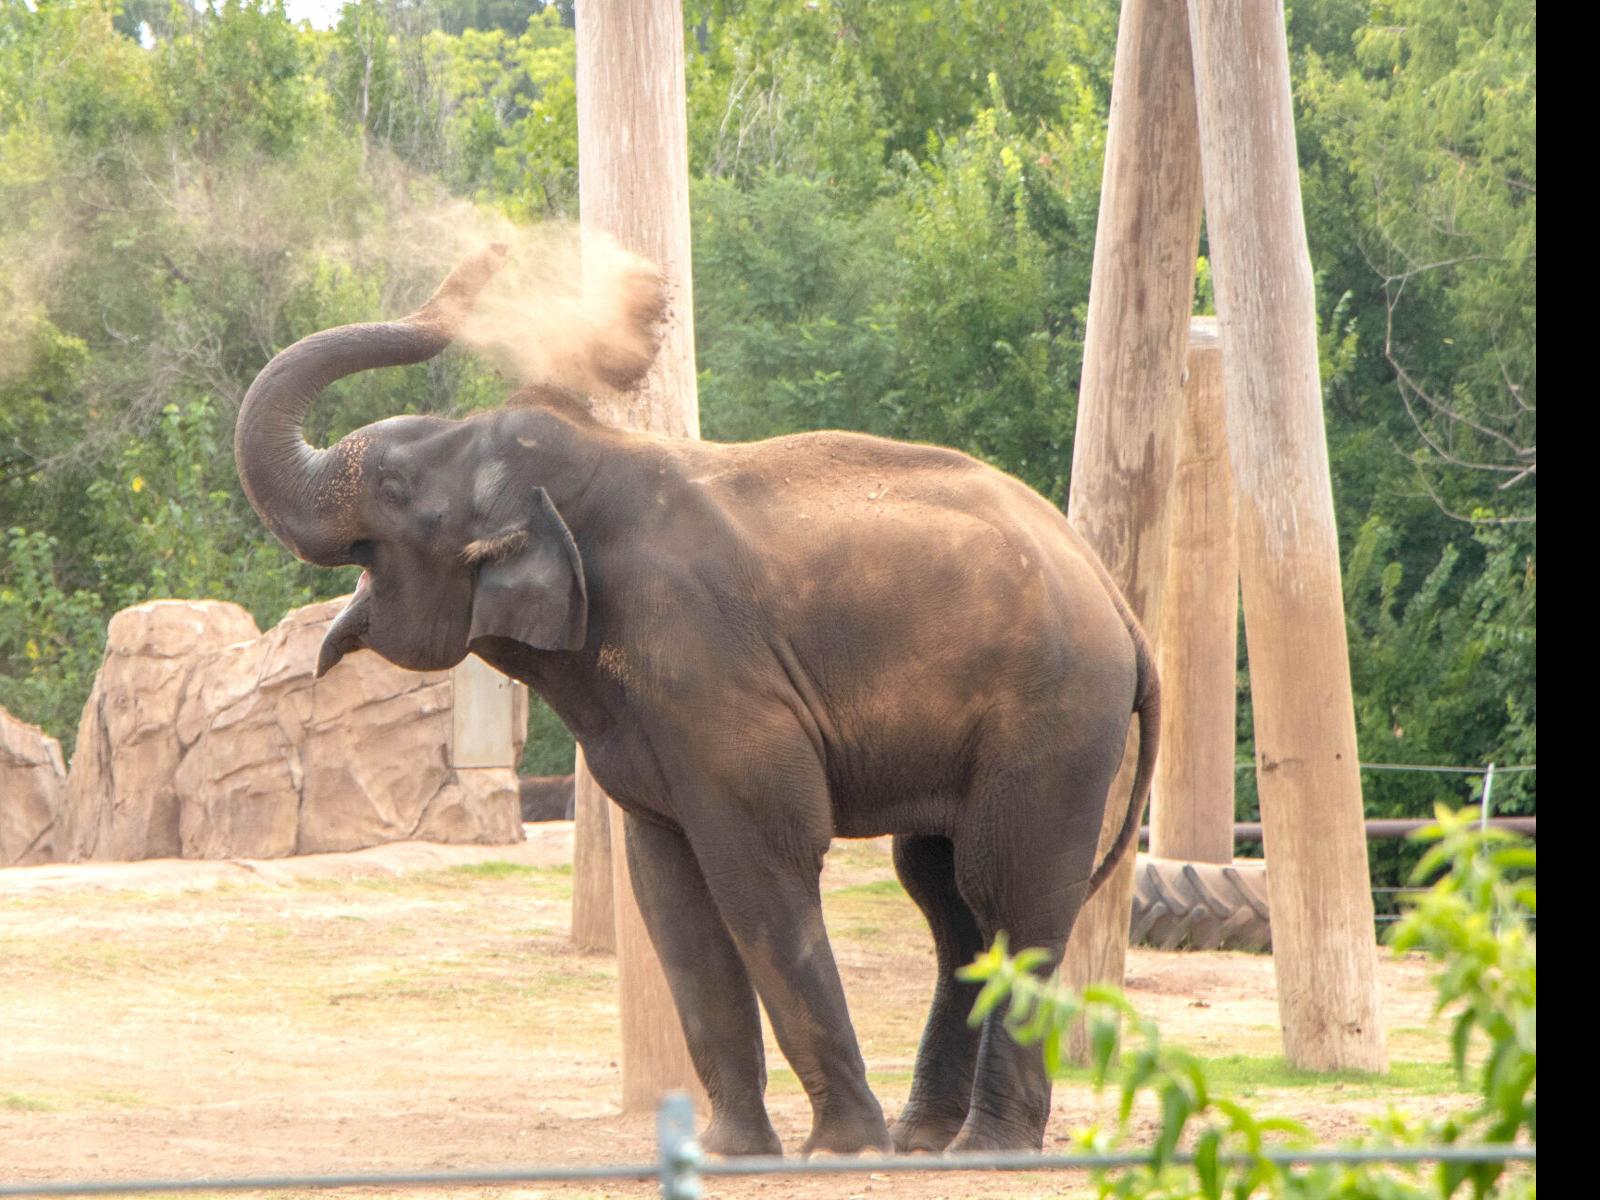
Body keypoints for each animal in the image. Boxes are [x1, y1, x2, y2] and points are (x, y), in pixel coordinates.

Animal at [232, 249, 1158, 1158]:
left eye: (392, 483)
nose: (487, 255)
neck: (593, 471)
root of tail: (1117, 603)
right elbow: (670, 895)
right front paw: (729, 1152)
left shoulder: (711, 677)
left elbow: (761, 869)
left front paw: (839, 1152)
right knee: (946, 902)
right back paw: (926, 1140)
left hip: (1054, 716)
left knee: (1008, 893)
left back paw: (981, 1146)